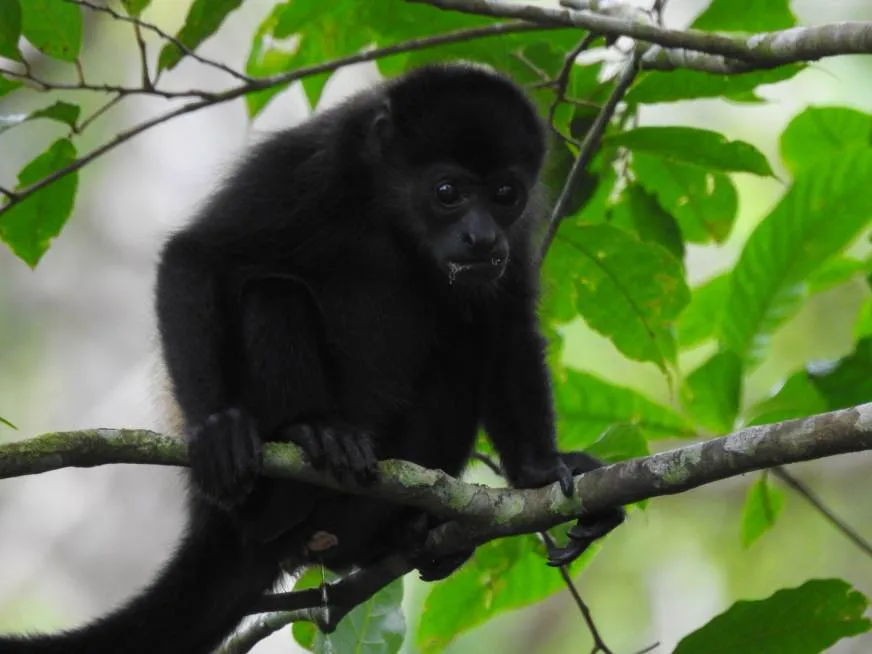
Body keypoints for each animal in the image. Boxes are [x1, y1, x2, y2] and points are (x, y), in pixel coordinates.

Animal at [0, 63, 624, 654]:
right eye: (448, 191)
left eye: (505, 194)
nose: (481, 237)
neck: (391, 214)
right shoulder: (308, 162)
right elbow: (197, 254)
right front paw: (216, 429)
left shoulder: (519, 230)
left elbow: (506, 323)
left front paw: (540, 470)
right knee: (273, 295)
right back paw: (310, 438)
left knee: (463, 342)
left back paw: (401, 532)